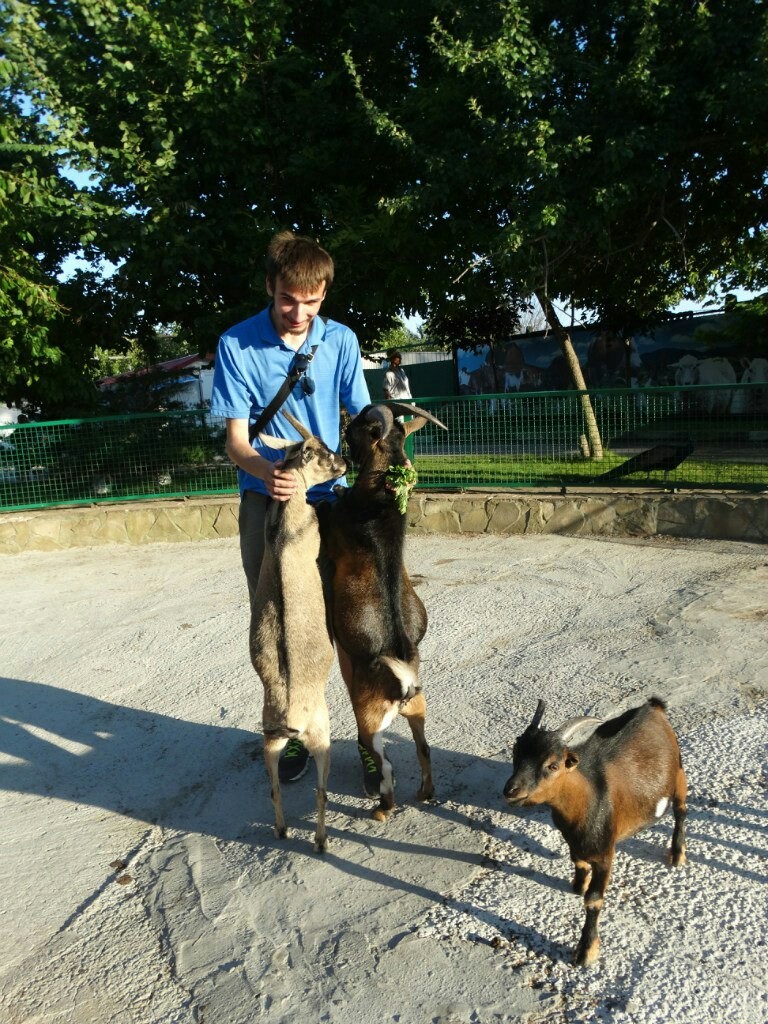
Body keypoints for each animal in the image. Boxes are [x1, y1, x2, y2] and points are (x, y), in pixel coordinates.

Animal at [319, 403, 448, 819]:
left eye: (361, 421)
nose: (345, 418)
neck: (386, 494)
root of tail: (402, 687)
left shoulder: (336, 526)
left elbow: (330, 510)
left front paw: (332, 493)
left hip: (370, 720)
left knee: (386, 765)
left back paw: (382, 807)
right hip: (419, 710)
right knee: (424, 748)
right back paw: (425, 792)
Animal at [505, 696, 684, 966]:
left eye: (553, 765)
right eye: (516, 751)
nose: (512, 790)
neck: (588, 797)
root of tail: (653, 707)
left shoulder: (605, 854)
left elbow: (593, 899)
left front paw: (586, 951)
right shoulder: (572, 840)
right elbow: (577, 861)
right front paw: (578, 885)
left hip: (680, 773)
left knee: (681, 810)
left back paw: (678, 853)